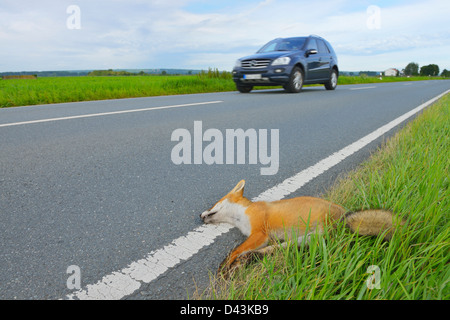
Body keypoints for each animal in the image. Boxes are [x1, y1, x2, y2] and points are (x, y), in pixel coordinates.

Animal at [200, 180, 404, 272]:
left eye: (214, 204)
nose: (200, 216)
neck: (242, 215)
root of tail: (344, 216)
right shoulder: (262, 237)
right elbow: (239, 249)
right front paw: (230, 264)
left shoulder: (260, 233)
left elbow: (234, 250)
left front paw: (224, 266)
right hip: (303, 239)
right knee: (273, 250)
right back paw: (249, 259)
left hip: (313, 233)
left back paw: (244, 260)